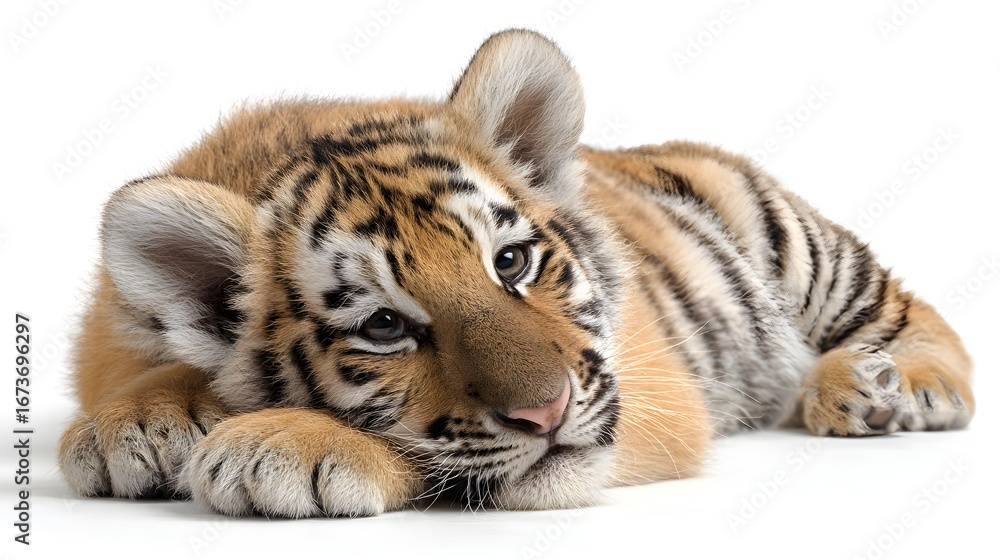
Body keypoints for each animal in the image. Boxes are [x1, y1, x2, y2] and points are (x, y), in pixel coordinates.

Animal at [57, 29, 975, 518]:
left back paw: (884, 386)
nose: (549, 411)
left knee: (910, 312)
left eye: (511, 262)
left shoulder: (652, 391)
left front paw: (283, 443)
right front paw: (139, 422)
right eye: (384, 326)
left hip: (785, 236)